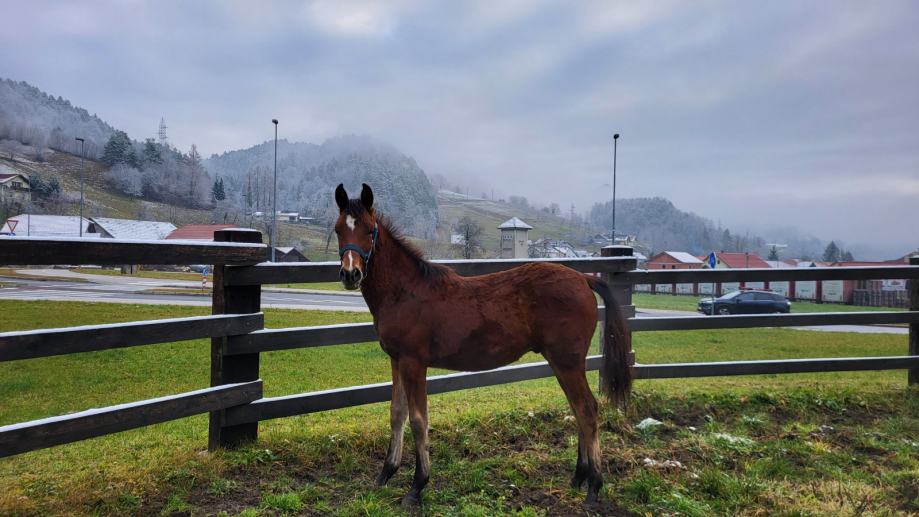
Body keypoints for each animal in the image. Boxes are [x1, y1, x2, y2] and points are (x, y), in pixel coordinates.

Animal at [333, 183, 632, 507]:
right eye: (338, 229)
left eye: (369, 229)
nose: (350, 274)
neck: (406, 291)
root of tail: (583, 277)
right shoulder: (396, 359)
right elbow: (396, 414)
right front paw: (385, 474)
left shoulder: (414, 362)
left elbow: (418, 420)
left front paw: (417, 485)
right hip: (562, 363)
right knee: (578, 409)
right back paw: (579, 478)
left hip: (567, 362)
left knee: (587, 410)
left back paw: (594, 488)